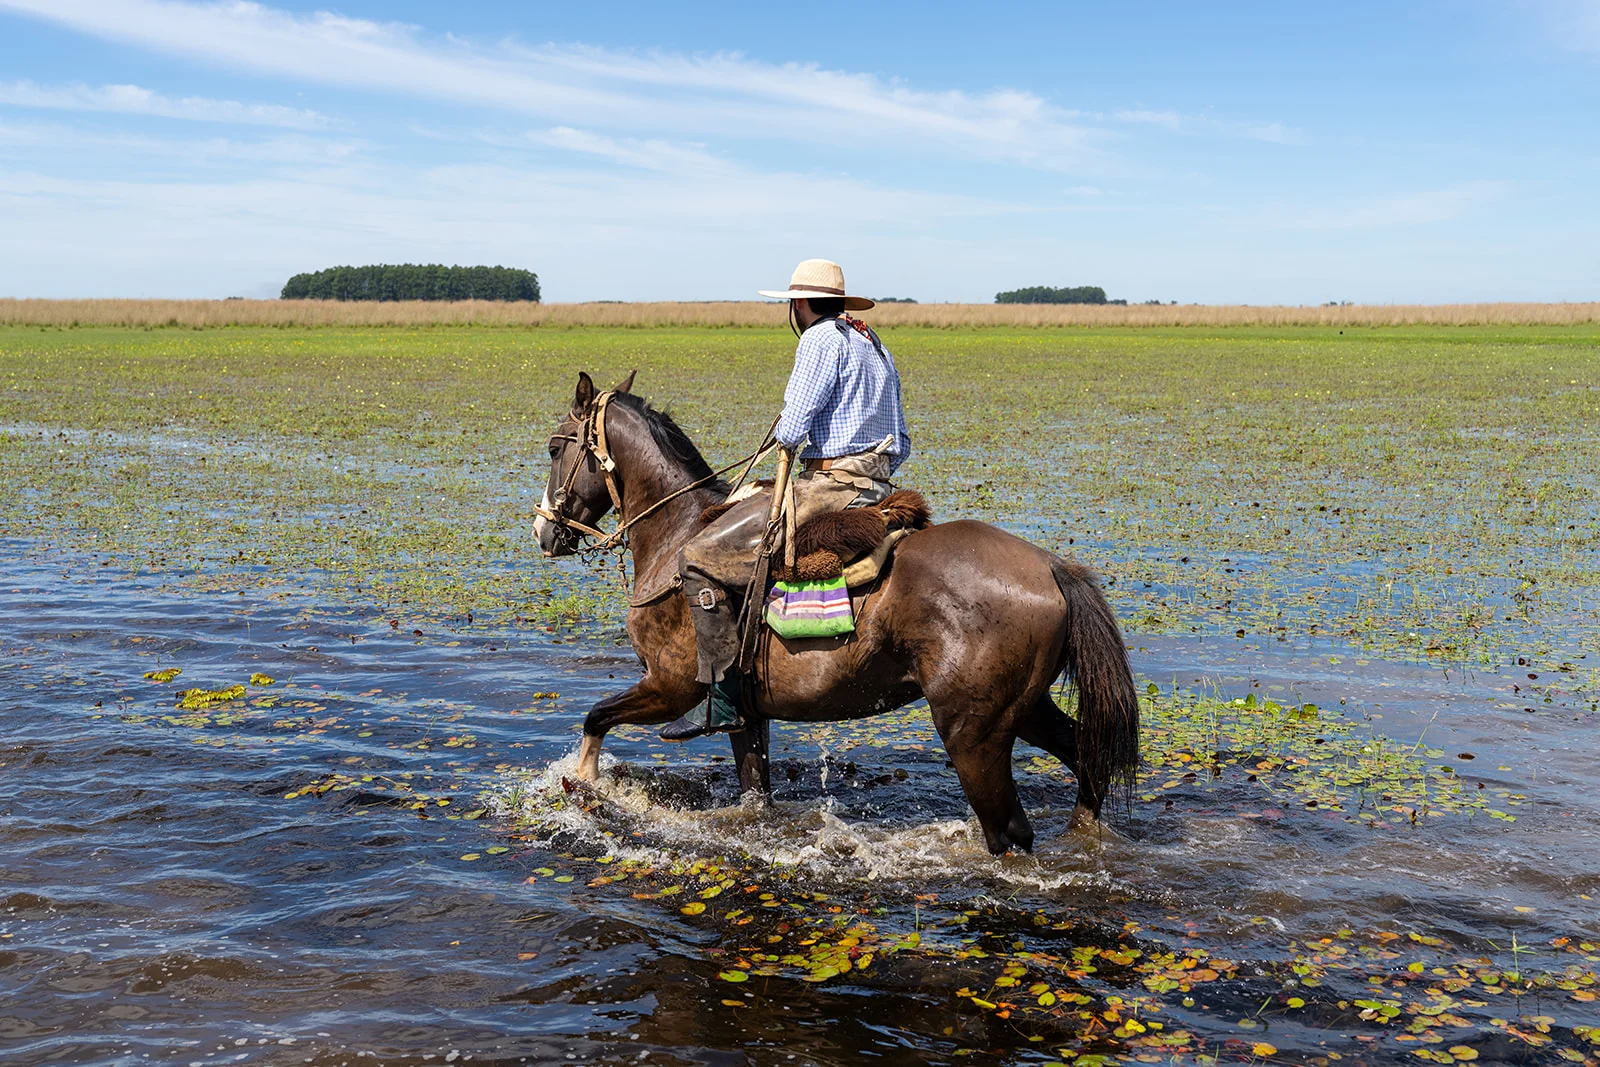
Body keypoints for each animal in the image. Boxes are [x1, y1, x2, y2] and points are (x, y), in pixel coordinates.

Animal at [534, 371, 1139, 855]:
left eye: (555, 448)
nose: (544, 530)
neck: (676, 536)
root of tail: (1050, 566)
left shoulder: (670, 688)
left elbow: (595, 718)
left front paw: (582, 783)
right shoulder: (746, 713)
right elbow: (754, 792)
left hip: (975, 734)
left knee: (1009, 830)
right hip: (1027, 710)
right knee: (1086, 758)